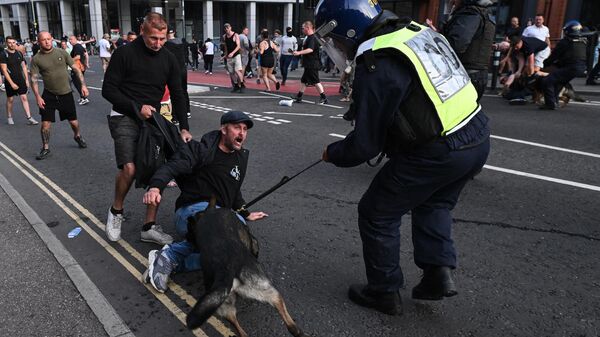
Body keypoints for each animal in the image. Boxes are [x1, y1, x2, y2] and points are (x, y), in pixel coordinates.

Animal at [185, 197, 308, 336]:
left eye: (189, 229)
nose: (186, 238)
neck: (207, 213)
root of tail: (226, 269)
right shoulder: (252, 241)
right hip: (262, 286)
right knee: (278, 301)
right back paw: (296, 328)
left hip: (223, 303)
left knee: (235, 322)